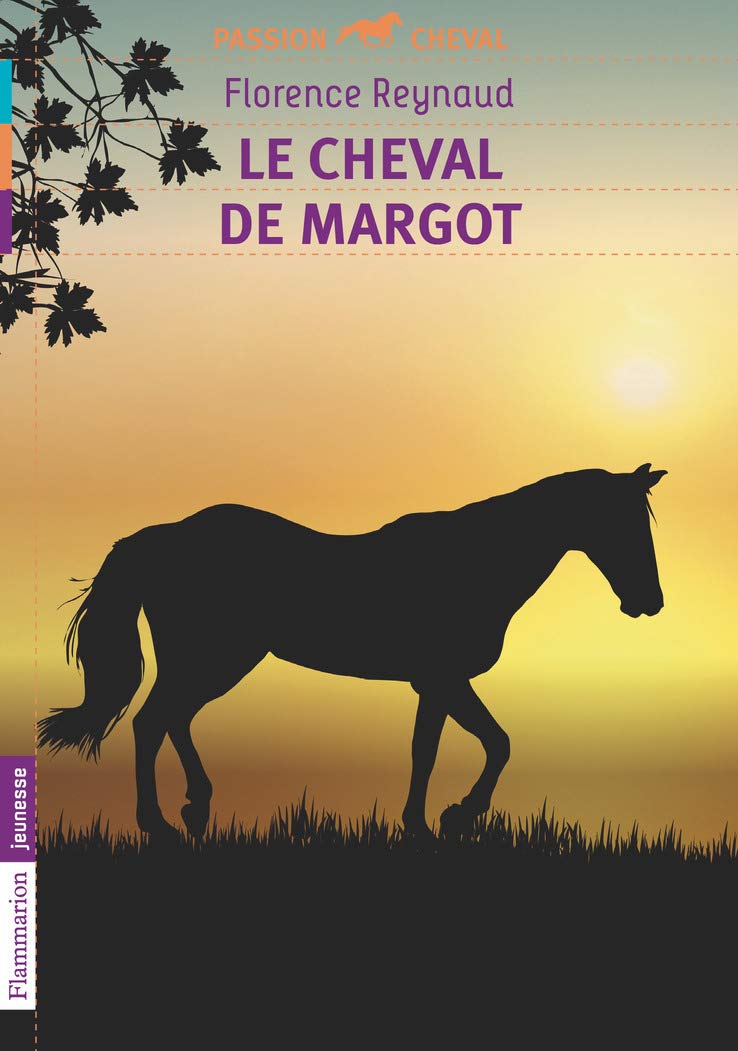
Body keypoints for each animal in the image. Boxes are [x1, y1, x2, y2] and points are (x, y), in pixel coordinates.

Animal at [39, 464, 667, 842]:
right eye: (625, 523)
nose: (651, 602)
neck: (478, 559)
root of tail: (160, 536)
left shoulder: (436, 684)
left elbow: (443, 749)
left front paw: (429, 822)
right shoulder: (443, 679)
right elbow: (482, 745)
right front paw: (450, 818)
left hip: (213, 660)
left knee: (173, 719)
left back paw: (197, 807)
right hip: (214, 658)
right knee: (153, 722)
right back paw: (160, 824)